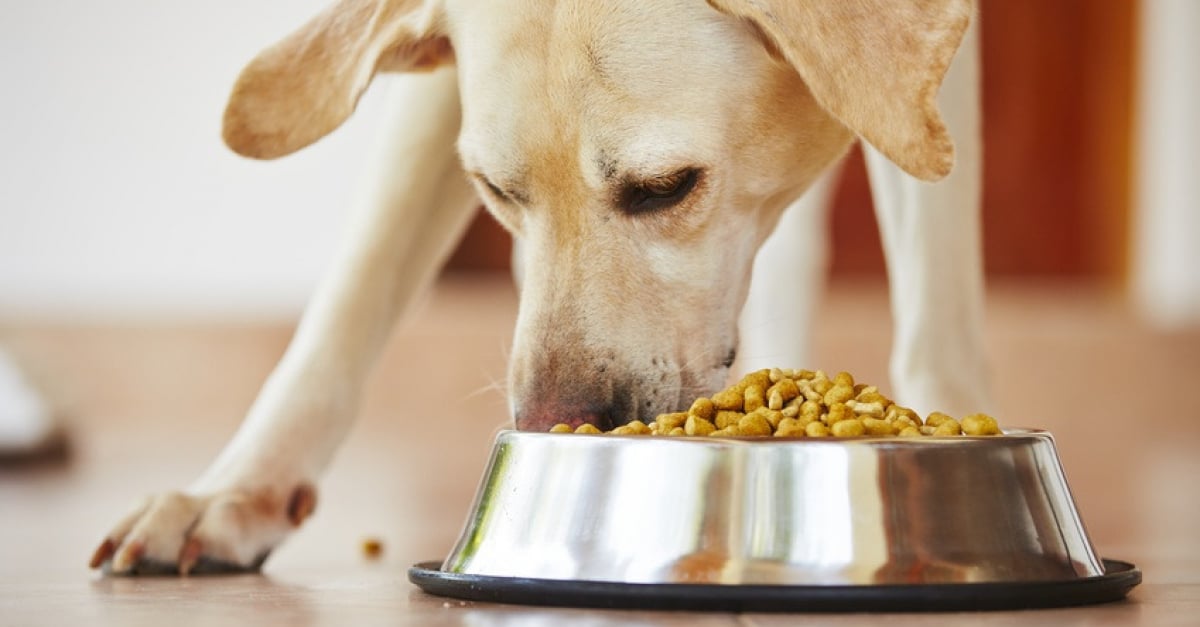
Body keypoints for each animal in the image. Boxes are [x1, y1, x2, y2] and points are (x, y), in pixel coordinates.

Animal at [84, 0, 984, 576]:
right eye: (495, 191)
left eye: (666, 187)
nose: (550, 424)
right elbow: (354, 292)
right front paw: (236, 490)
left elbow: (936, 303)